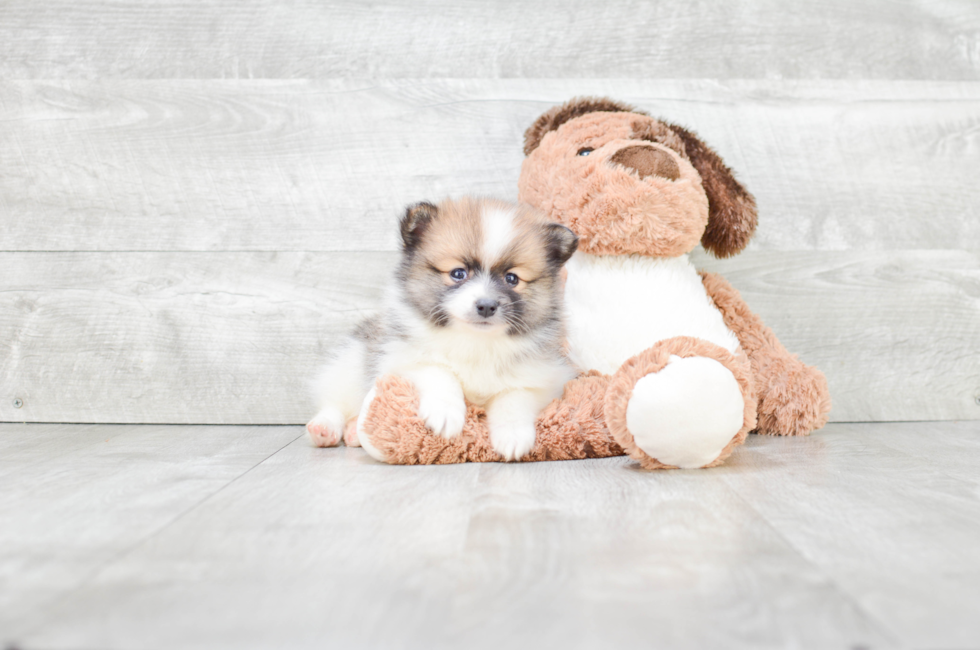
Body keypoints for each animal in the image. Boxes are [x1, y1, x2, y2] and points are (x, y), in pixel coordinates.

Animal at [310, 197, 580, 460]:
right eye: (458, 273)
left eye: (511, 279)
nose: (486, 306)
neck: (475, 341)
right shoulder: (400, 359)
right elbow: (439, 371)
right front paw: (445, 413)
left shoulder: (544, 379)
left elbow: (515, 397)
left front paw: (513, 435)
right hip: (350, 363)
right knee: (334, 402)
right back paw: (325, 429)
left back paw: (353, 432)